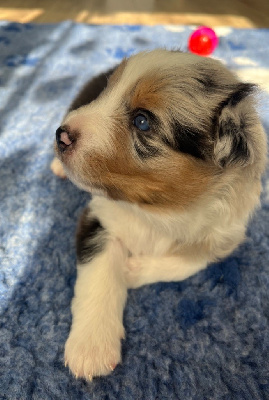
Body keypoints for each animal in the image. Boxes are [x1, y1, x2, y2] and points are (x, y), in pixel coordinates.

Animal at [50, 48, 266, 380]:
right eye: (107, 93)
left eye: (142, 121)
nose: (61, 136)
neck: (160, 207)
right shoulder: (99, 215)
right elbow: (99, 271)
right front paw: (91, 349)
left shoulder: (226, 233)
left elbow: (192, 261)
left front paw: (132, 269)